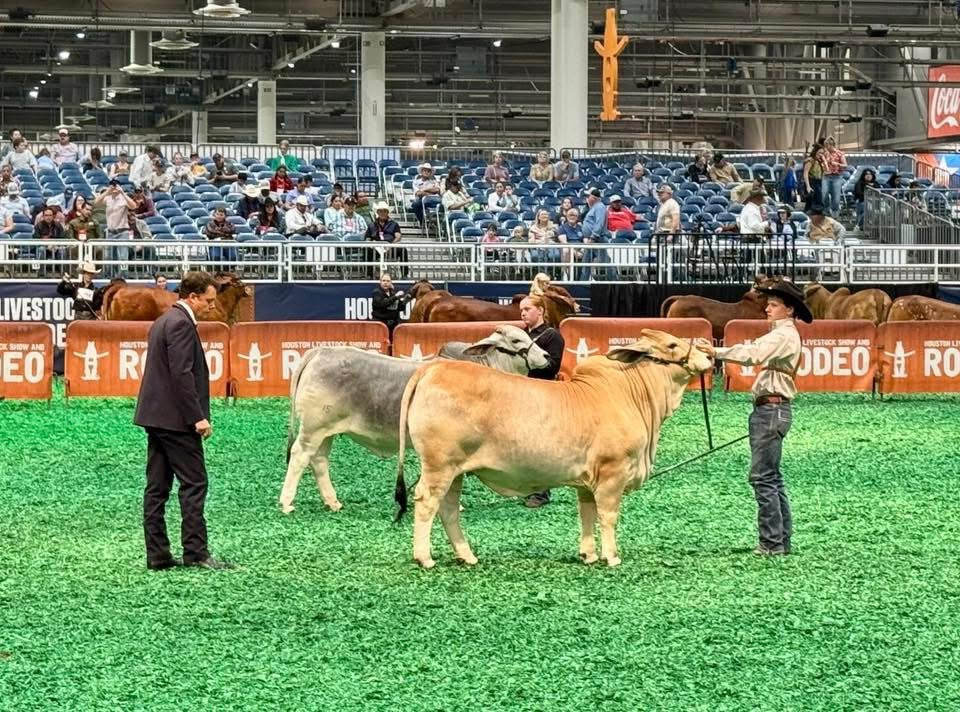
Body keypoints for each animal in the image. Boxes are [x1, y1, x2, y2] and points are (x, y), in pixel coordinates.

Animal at [280, 325, 551, 514]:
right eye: (516, 340)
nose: (548, 356)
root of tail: (321, 351)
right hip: (314, 427)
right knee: (299, 456)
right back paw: (286, 502)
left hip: (326, 431)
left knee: (318, 461)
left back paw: (333, 502)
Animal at [393, 329, 715, 569]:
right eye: (672, 344)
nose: (708, 355)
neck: (629, 394)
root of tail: (434, 368)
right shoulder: (613, 473)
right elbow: (608, 515)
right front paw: (611, 557)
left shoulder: (587, 481)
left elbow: (587, 513)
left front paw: (588, 555)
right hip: (439, 465)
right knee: (426, 501)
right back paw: (424, 557)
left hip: (456, 471)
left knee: (448, 509)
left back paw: (467, 556)